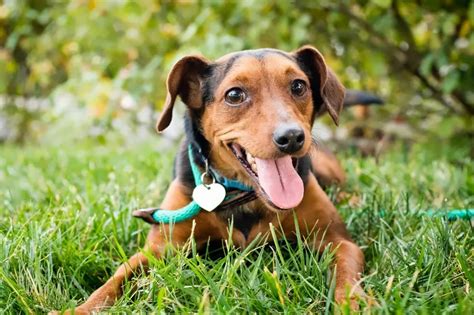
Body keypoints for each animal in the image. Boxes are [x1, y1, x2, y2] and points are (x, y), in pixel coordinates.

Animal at [54, 46, 382, 314]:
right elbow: (117, 278)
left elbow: (346, 274)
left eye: (298, 86)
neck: (243, 193)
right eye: (235, 95)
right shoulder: (160, 247)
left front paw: (355, 304)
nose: (291, 137)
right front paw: (80, 309)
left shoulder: (338, 241)